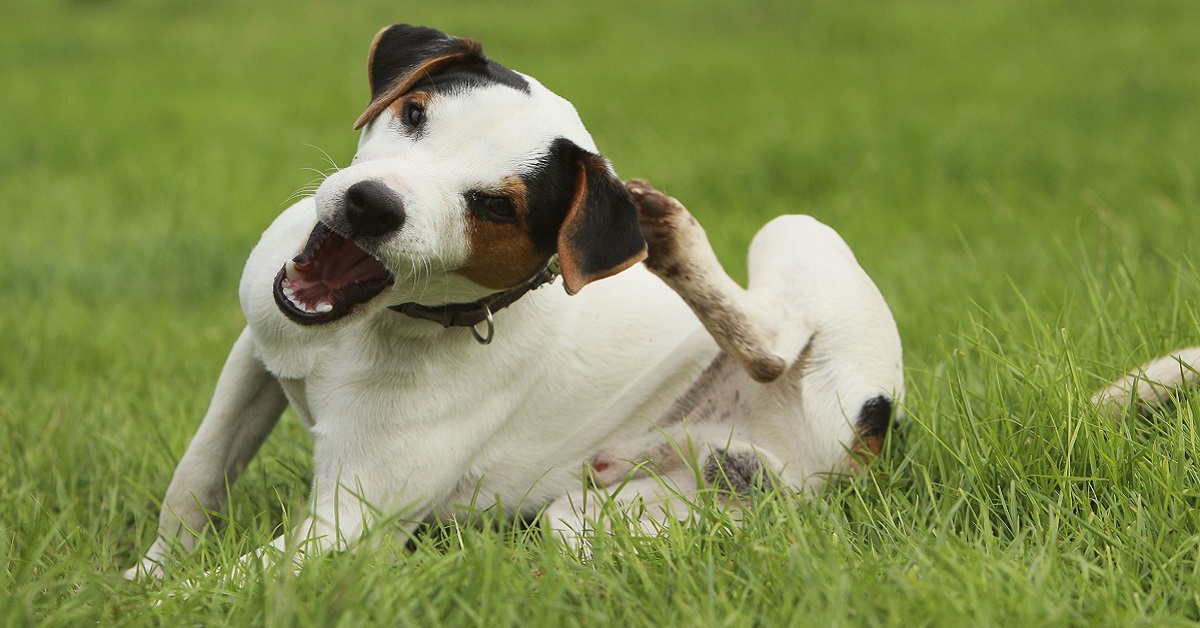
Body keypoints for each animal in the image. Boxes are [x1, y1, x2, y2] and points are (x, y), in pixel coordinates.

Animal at [126, 25, 902, 585]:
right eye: (413, 112)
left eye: (497, 207)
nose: (371, 204)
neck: (365, 328)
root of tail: (868, 449)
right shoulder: (256, 355)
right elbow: (196, 477)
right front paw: (149, 569)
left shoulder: (350, 521)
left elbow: (222, 583)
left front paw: (150, 596)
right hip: (601, 518)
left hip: (799, 238)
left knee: (771, 345)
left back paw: (675, 239)